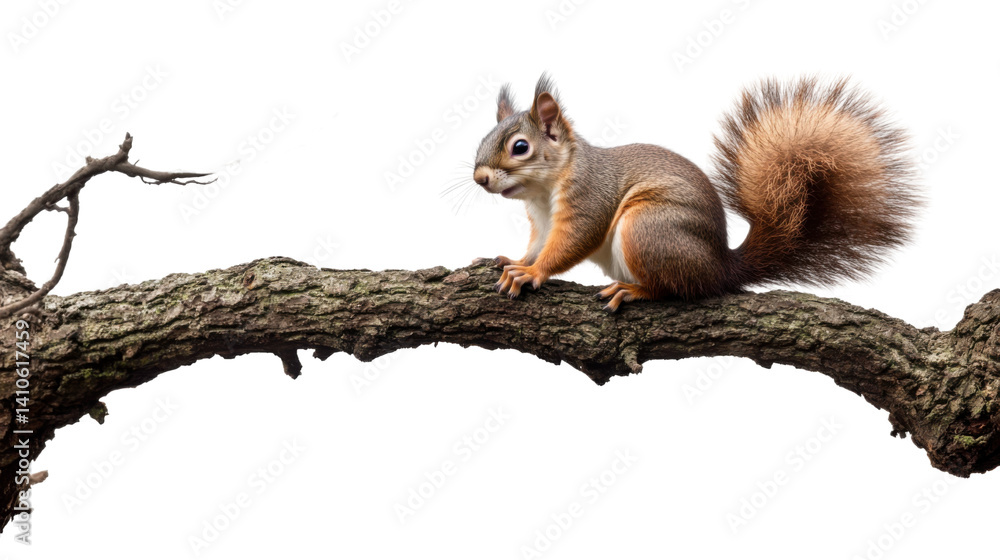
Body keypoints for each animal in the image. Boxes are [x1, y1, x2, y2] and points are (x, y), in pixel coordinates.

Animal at [472, 75, 920, 311]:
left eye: (519, 147)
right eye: (482, 139)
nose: (479, 179)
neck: (545, 189)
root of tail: (720, 267)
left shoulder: (588, 197)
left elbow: (572, 242)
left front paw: (532, 273)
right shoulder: (541, 220)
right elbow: (537, 244)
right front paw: (514, 261)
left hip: (649, 229)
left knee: (674, 289)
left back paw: (634, 290)